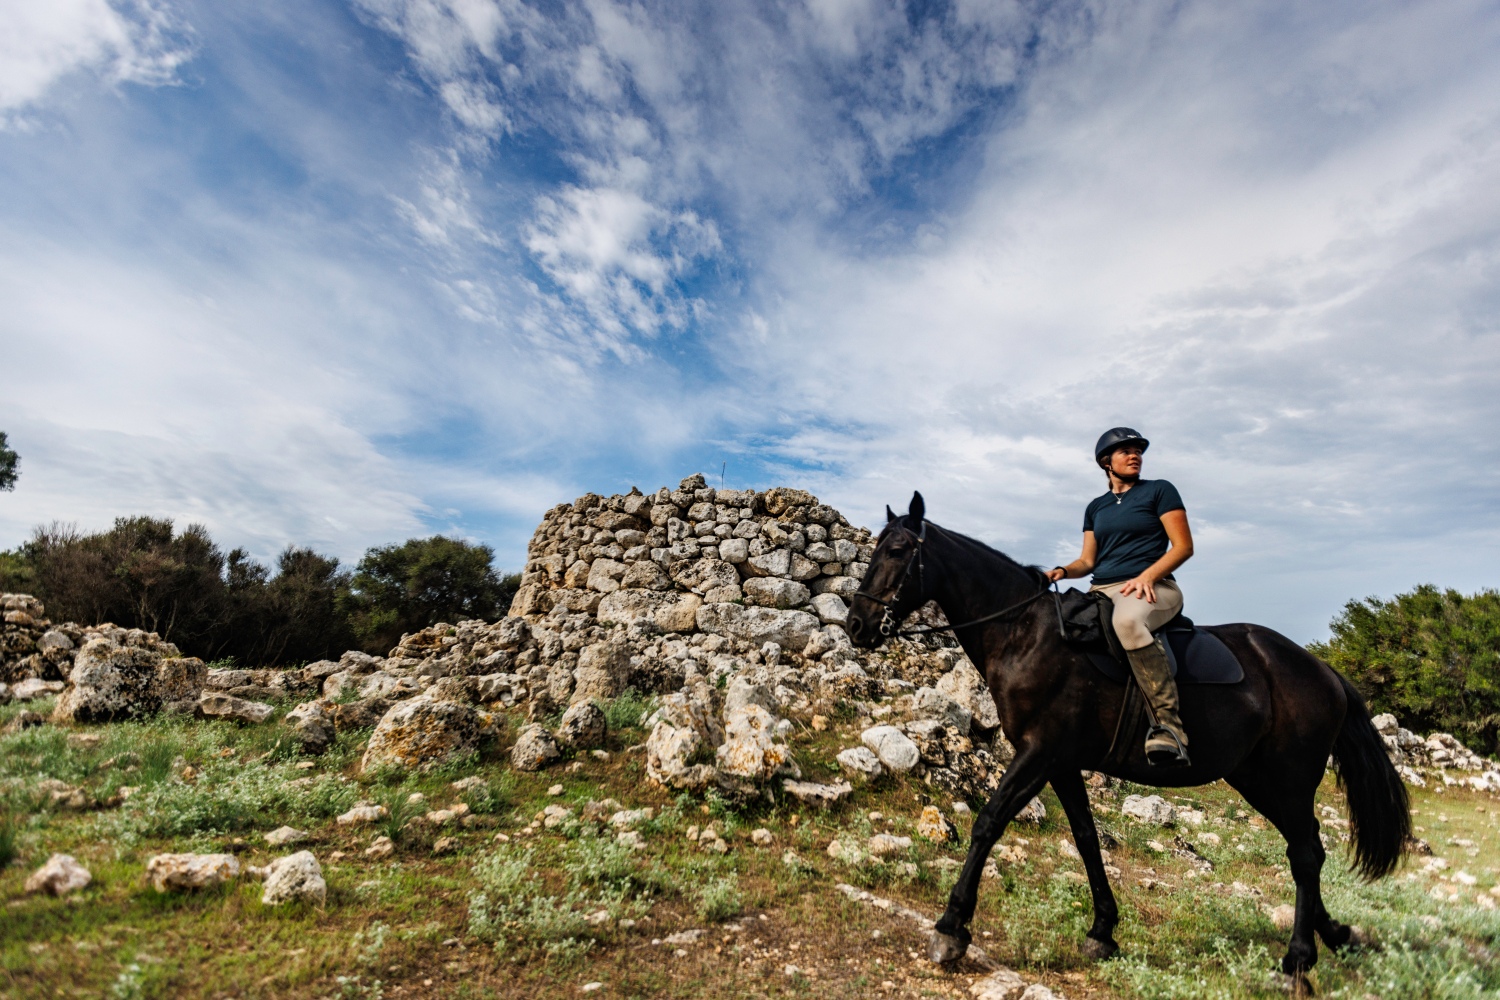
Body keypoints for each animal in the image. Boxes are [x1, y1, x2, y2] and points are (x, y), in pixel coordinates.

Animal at [852, 491, 1410, 983]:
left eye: (897, 551)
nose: (858, 625)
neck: (1025, 633)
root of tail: (1324, 671)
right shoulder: (1060, 762)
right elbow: (1085, 838)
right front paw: (1103, 930)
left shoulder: (1038, 752)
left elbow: (989, 823)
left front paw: (952, 928)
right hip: (1257, 780)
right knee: (1307, 848)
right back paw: (1334, 935)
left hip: (1289, 780)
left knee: (1305, 855)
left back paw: (1297, 959)